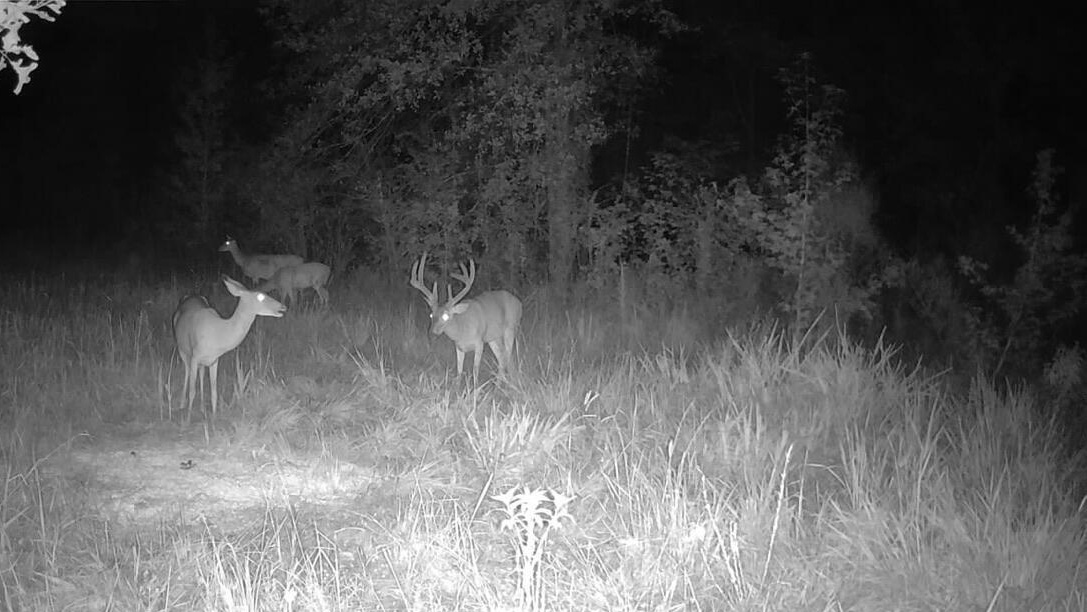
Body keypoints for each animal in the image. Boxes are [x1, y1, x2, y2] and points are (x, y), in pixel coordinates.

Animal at [172, 275, 286, 419]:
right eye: (260, 296)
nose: (283, 307)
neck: (219, 334)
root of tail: (189, 296)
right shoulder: (195, 356)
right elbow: (192, 391)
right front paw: (187, 419)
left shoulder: (214, 360)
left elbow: (214, 392)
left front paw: (214, 417)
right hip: (182, 349)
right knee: (187, 371)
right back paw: (182, 404)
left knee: (201, 373)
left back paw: (202, 407)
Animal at [409, 252, 522, 381]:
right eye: (431, 314)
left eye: (446, 316)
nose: (431, 333)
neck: (461, 329)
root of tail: (519, 303)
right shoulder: (459, 347)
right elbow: (459, 371)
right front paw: (457, 384)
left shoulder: (479, 343)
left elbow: (475, 371)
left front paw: (475, 386)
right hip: (494, 338)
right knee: (503, 358)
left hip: (511, 328)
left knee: (507, 356)